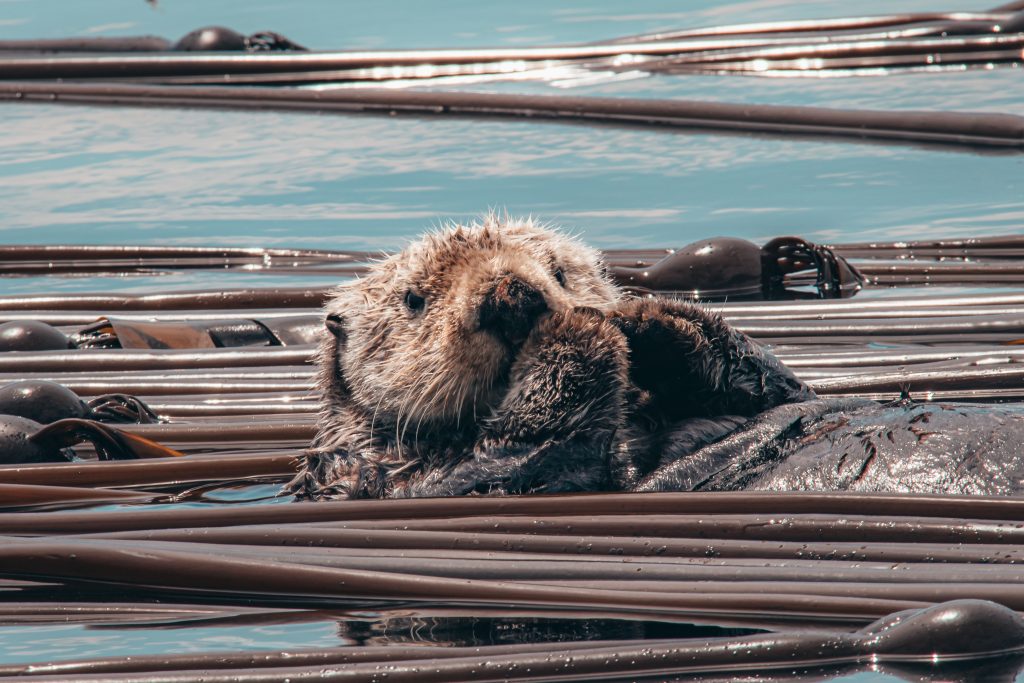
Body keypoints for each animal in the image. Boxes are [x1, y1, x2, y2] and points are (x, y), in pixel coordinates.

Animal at [288, 215, 1024, 500]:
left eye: (559, 268)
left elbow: (775, 386)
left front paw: (645, 317)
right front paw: (576, 334)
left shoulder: (765, 392)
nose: (513, 295)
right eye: (415, 298)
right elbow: (529, 454)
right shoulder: (397, 479)